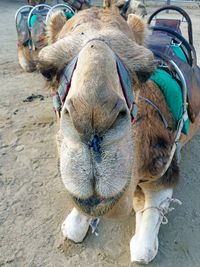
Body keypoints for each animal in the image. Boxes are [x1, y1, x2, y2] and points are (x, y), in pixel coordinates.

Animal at [36, 5, 200, 264]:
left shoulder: (164, 172)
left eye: (144, 72)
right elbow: (72, 227)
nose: (93, 120)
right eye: (46, 70)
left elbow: (142, 249)